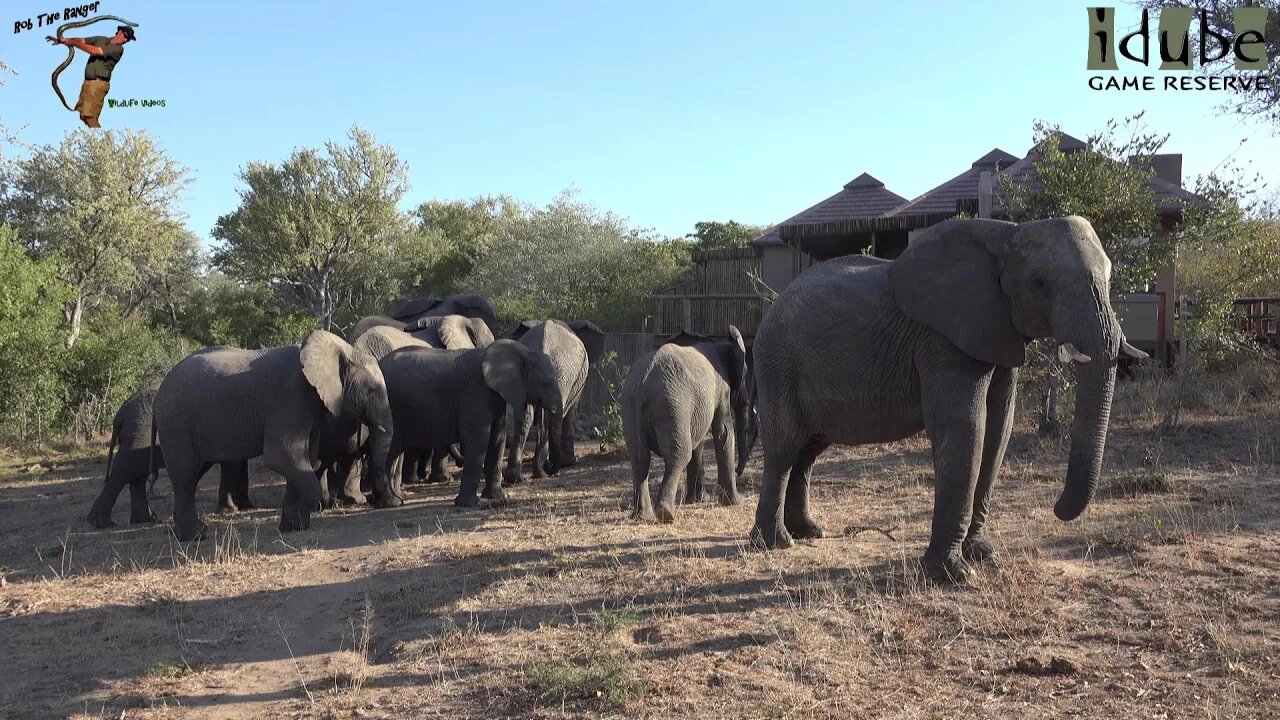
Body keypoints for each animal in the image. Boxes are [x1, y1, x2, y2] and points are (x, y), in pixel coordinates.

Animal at [154, 326, 394, 538]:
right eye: (371, 391)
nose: (383, 501)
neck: (342, 348)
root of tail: (159, 390)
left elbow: (307, 458)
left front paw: (292, 526)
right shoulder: (290, 395)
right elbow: (282, 456)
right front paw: (295, 521)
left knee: (191, 475)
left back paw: (188, 532)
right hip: (176, 424)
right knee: (185, 475)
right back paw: (195, 536)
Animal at [373, 338, 565, 507]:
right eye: (545, 383)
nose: (550, 467)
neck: (522, 352)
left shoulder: (494, 394)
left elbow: (498, 438)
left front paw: (498, 497)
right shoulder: (476, 391)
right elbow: (479, 440)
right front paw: (470, 504)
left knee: (391, 452)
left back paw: (384, 501)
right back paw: (390, 503)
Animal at [499, 317, 604, 481]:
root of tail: (543, 347)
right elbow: (570, 412)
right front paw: (570, 462)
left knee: (526, 416)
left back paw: (519, 476)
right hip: (563, 376)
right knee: (551, 416)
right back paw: (544, 470)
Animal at [624, 325, 752, 520]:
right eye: (745, 374)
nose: (739, 471)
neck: (722, 345)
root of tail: (643, 386)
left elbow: (700, 441)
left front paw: (698, 500)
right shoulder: (721, 389)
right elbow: (723, 431)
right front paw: (734, 502)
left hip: (632, 409)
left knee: (640, 458)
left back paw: (644, 517)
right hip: (673, 407)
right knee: (678, 455)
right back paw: (666, 514)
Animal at [747, 215, 1146, 579]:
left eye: (1111, 277)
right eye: (1040, 283)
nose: (1058, 509)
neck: (1008, 234)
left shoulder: (996, 332)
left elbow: (999, 428)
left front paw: (983, 555)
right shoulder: (943, 340)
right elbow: (965, 427)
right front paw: (952, 574)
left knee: (808, 451)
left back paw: (809, 532)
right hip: (777, 362)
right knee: (784, 447)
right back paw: (774, 543)